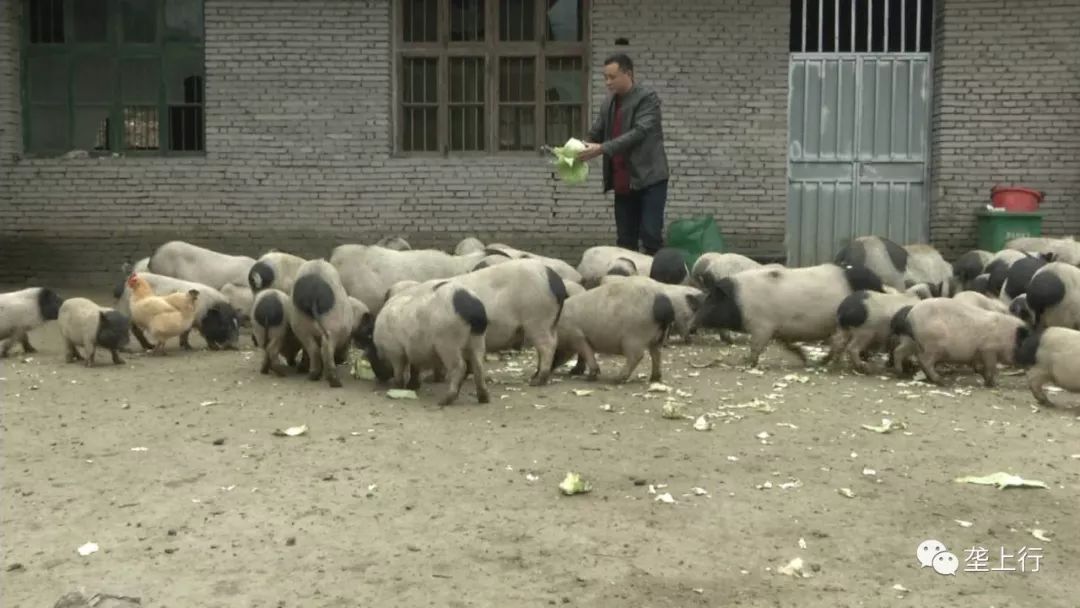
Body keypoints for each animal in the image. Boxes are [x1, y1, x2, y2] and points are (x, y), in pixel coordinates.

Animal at [362, 278, 490, 403]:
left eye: (370, 356)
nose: (380, 378)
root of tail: (473, 309)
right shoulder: (413, 351)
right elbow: (414, 368)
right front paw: (412, 387)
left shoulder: (395, 351)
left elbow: (399, 371)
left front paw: (397, 387)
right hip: (478, 340)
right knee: (478, 365)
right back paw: (484, 398)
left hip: (448, 344)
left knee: (460, 366)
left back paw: (445, 400)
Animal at [691, 261, 885, 367]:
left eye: (711, 300)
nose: (693, 322)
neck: (739, 302)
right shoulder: (778, 330)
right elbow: (788, 346)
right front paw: (803, 358)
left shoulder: (762, 326)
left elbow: (756, 346)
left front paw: (745, 362)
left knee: (841, 344)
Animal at [889, 298, 1032, 388]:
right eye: (1025, 343)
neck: (1007, 335)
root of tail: (911, 313)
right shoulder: (988, 349)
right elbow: (991, 367)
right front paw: (994, 384)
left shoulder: (977, 353)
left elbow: (979, 368)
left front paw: (988, 382)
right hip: (933, 345)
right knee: (924, 360)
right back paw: (941, 382)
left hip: (910, 341)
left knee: (898, 351)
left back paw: (900, 373)